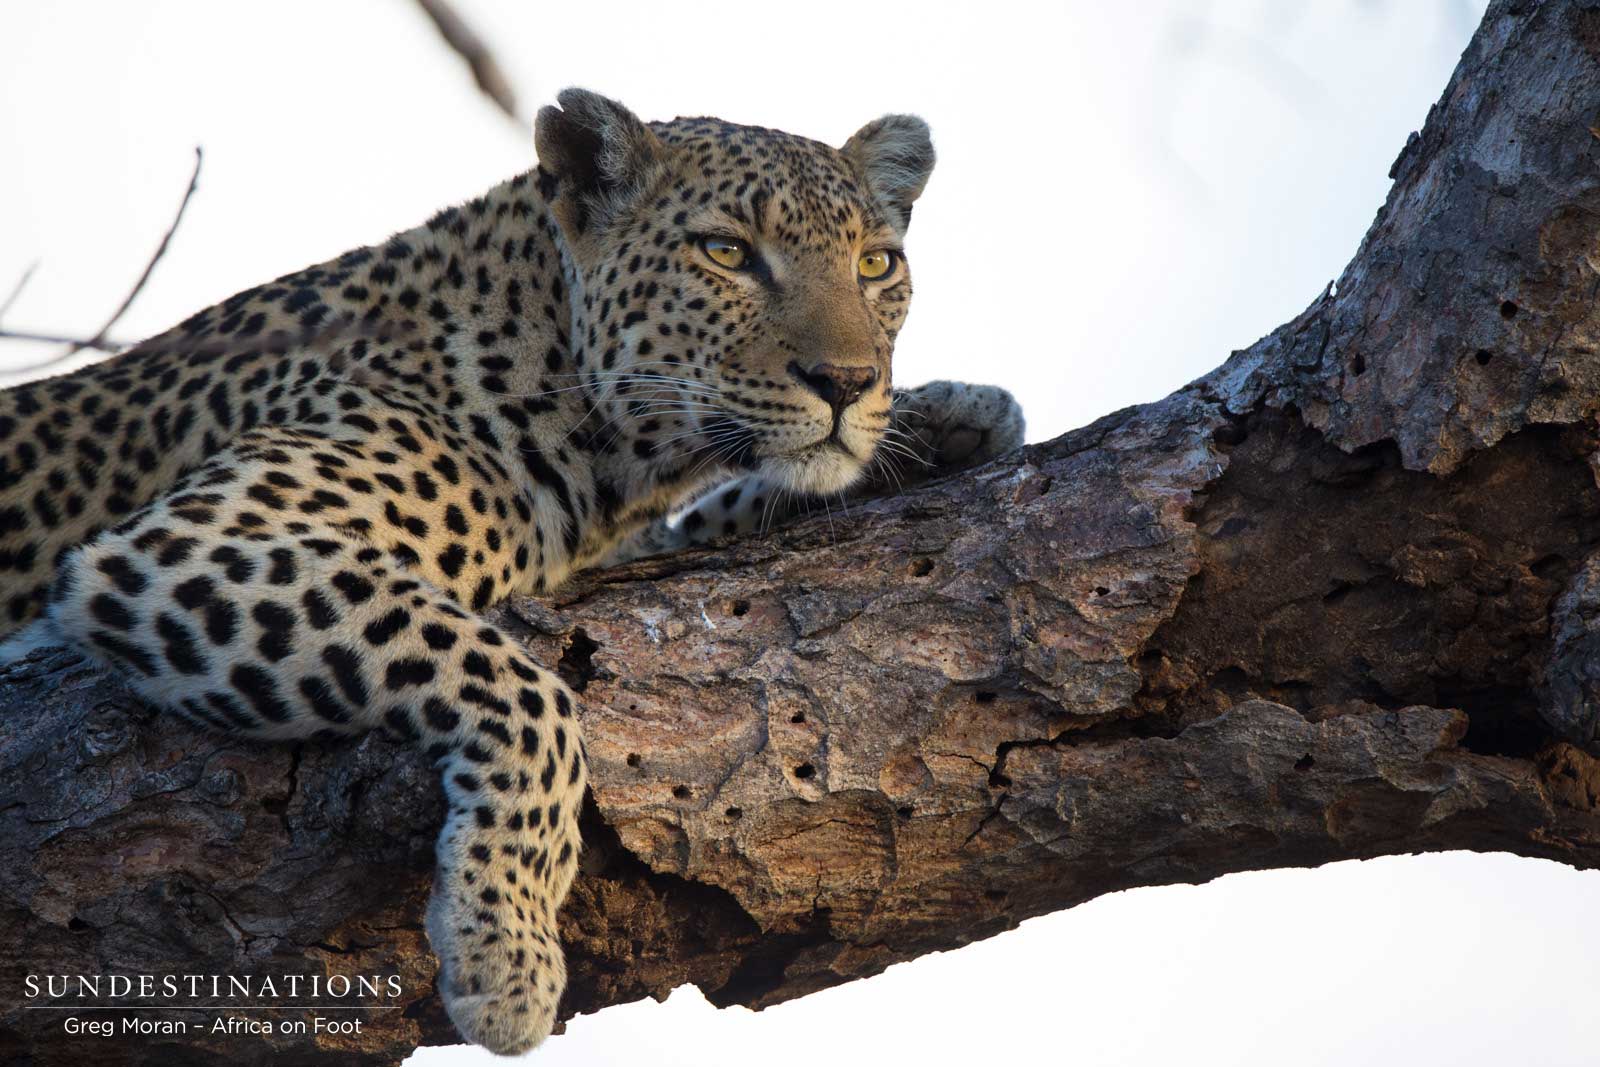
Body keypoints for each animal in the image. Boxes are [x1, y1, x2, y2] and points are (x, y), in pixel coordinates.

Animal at [0, 90, 1023, 1054]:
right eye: (726, 252)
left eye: (875, 265)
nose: (848, 382)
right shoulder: (198, 539)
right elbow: (530, 697)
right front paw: (506, 948)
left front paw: (949, 417)